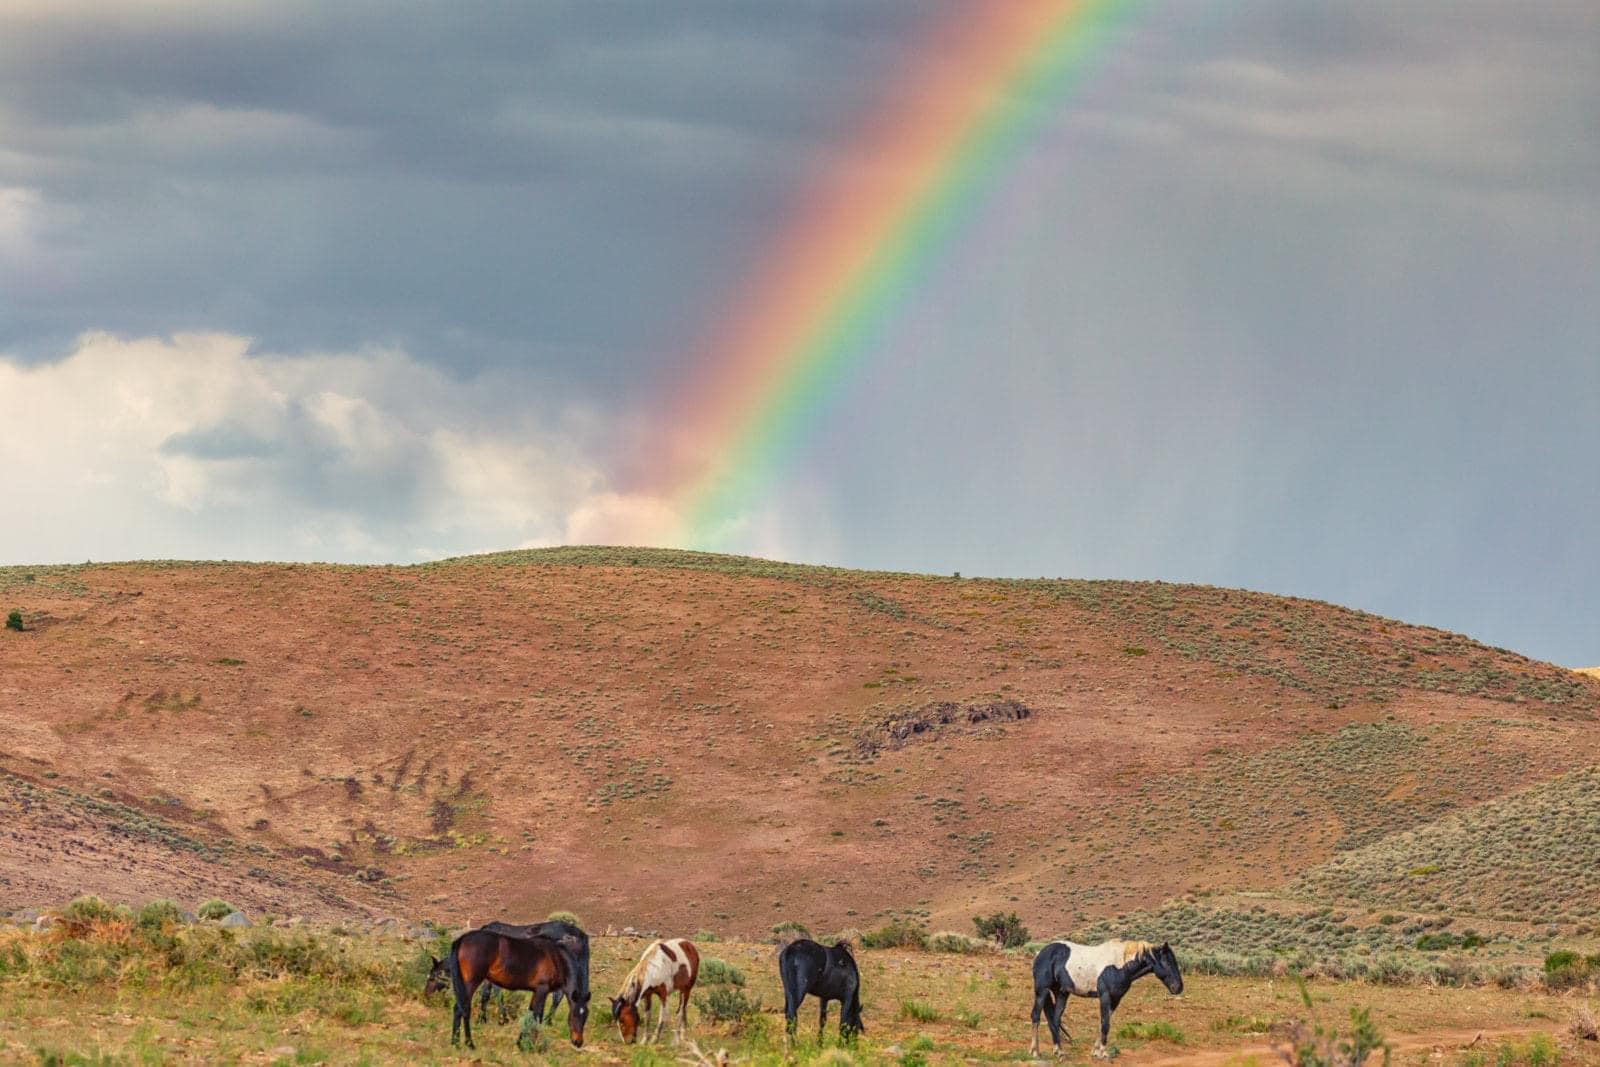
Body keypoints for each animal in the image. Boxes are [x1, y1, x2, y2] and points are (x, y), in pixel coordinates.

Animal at [425, 927, 595, 1049]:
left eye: (586, 1016)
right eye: (574, 1015)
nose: (578, 1042)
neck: (556, 958)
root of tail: (462, 940)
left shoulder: (536, 991)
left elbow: (530, 1013)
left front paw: (521, 1042)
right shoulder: (542, 990)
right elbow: (537, 1016)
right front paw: (531, 1045)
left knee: (459, 1009)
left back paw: (456, 1042)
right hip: (471, 982)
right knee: (463, 1009)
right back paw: (468, 1043)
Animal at [1030, 940, 1184, 1055]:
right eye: (1167, 962)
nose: (1178, 988)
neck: (1120, 966)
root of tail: (1041, 952)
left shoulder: (1116, 999)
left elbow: (1104, 1022)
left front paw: (1095, 1051)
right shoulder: (1105, 996)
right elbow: (1105, 1024)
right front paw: (1102, 1053)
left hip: (1061, 993)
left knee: (1055, 1019)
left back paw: (1059, 1051)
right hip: (1042, 991)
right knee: (1036, 1016)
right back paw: (1035, 1052)